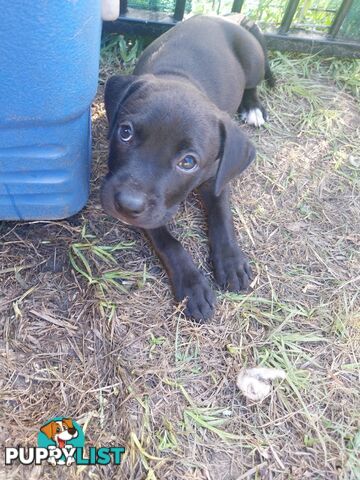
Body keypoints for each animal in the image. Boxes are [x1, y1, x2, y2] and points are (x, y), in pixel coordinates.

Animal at [100, 15, 272, 322]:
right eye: (125, 132)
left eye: (188, 162)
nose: (127, 205)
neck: (183, 80)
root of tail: (229, 17)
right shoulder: (153, 212)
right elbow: (169, 243)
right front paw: (192, 284)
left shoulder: (217, 178)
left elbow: (222, 218)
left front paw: (230, 261)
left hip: (254, 62)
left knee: (253, 84)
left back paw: (253, 106)